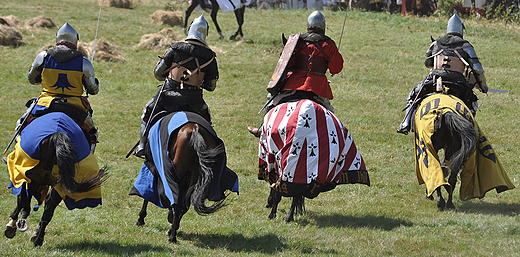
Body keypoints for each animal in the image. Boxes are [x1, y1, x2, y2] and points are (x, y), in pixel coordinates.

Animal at [2, 112, 106, 246]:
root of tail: (57, 135)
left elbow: (23, 200)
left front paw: (12, 225)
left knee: (26, 200)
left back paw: (16, 227)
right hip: (61, 183)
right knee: (48, 209)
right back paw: (38, 238)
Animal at [132, 110, 242, 242]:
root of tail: (195, 130)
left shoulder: (153, 165)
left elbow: (147, 193)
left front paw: (140, 219)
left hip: (177, 173)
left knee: (177, 202)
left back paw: (172, 237)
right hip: (195, 176)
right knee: (185, 203)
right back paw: (172, 230)